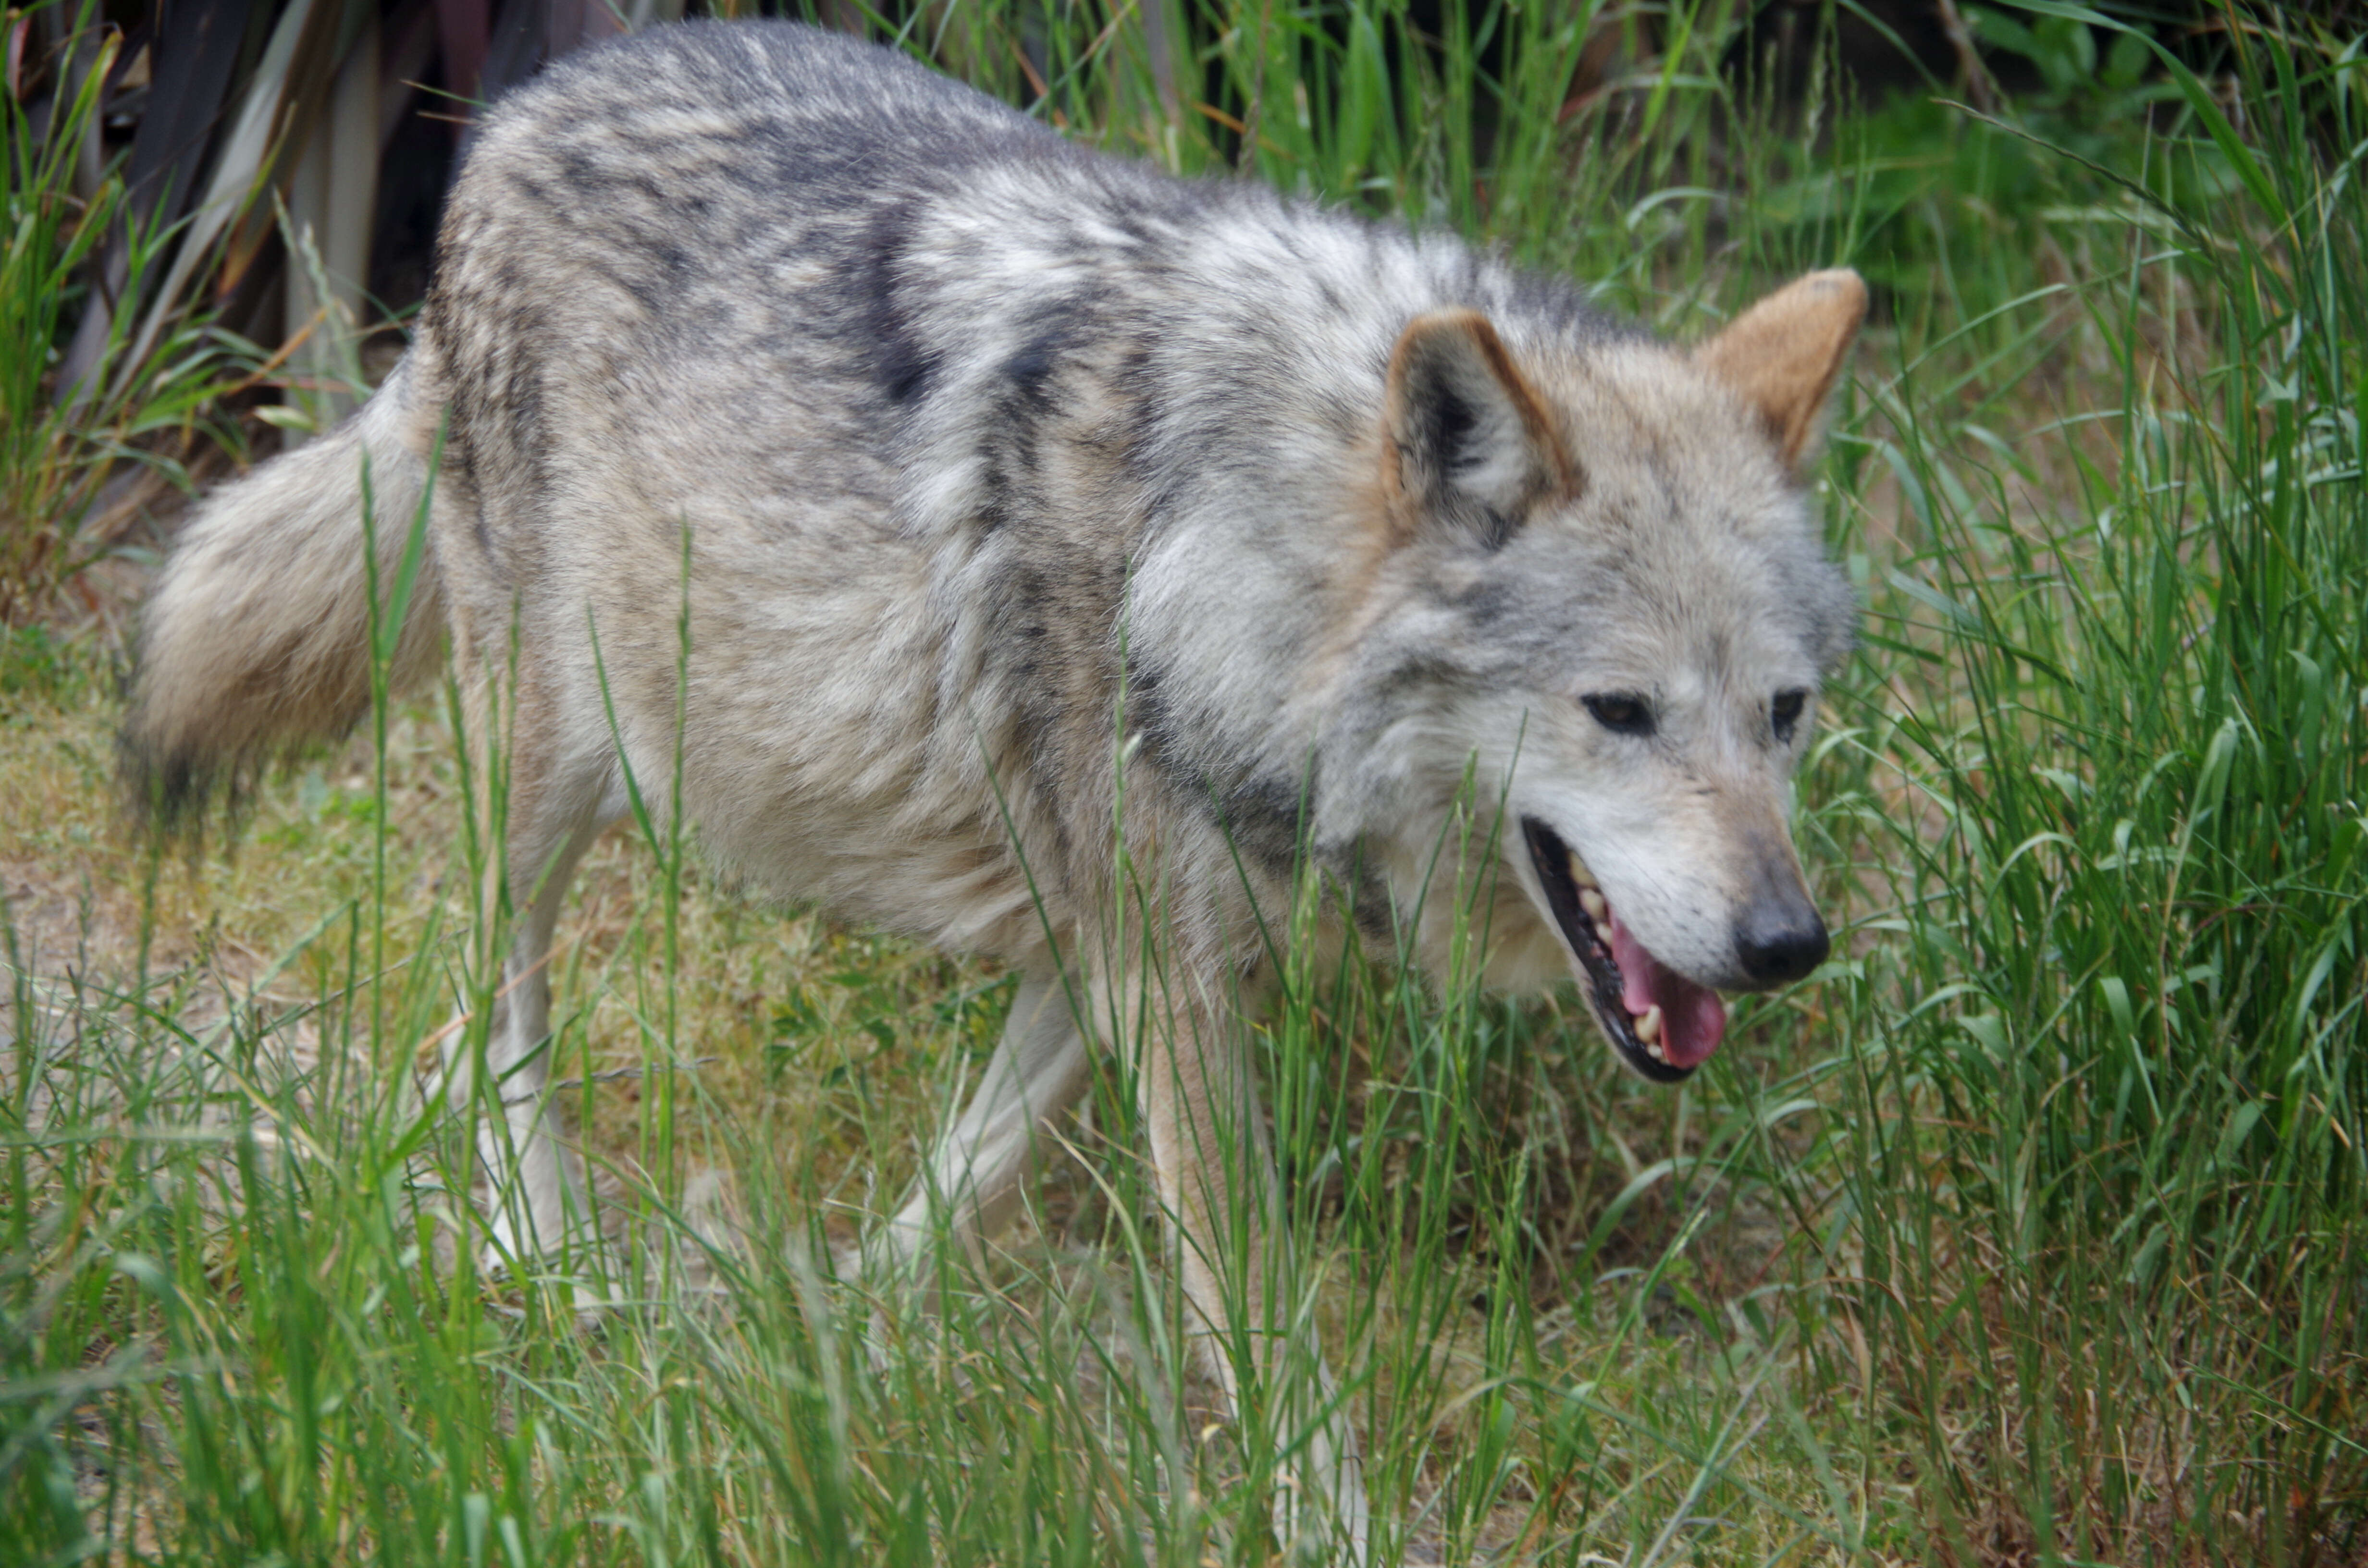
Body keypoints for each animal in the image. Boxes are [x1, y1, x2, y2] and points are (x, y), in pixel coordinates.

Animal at [124, 15, 1866, 1563]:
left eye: (1782, 714)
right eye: (1619, 712)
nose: (1789, 946)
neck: (1215, 544)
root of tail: (522, 109)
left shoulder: (1107, 938)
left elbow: (976, 1163)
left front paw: (843, 1326)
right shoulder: (1167, 978)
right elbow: (1260, 1319)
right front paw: (1334, 1527)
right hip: (560, 763)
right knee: (487, 1010)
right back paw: (536, 1252)